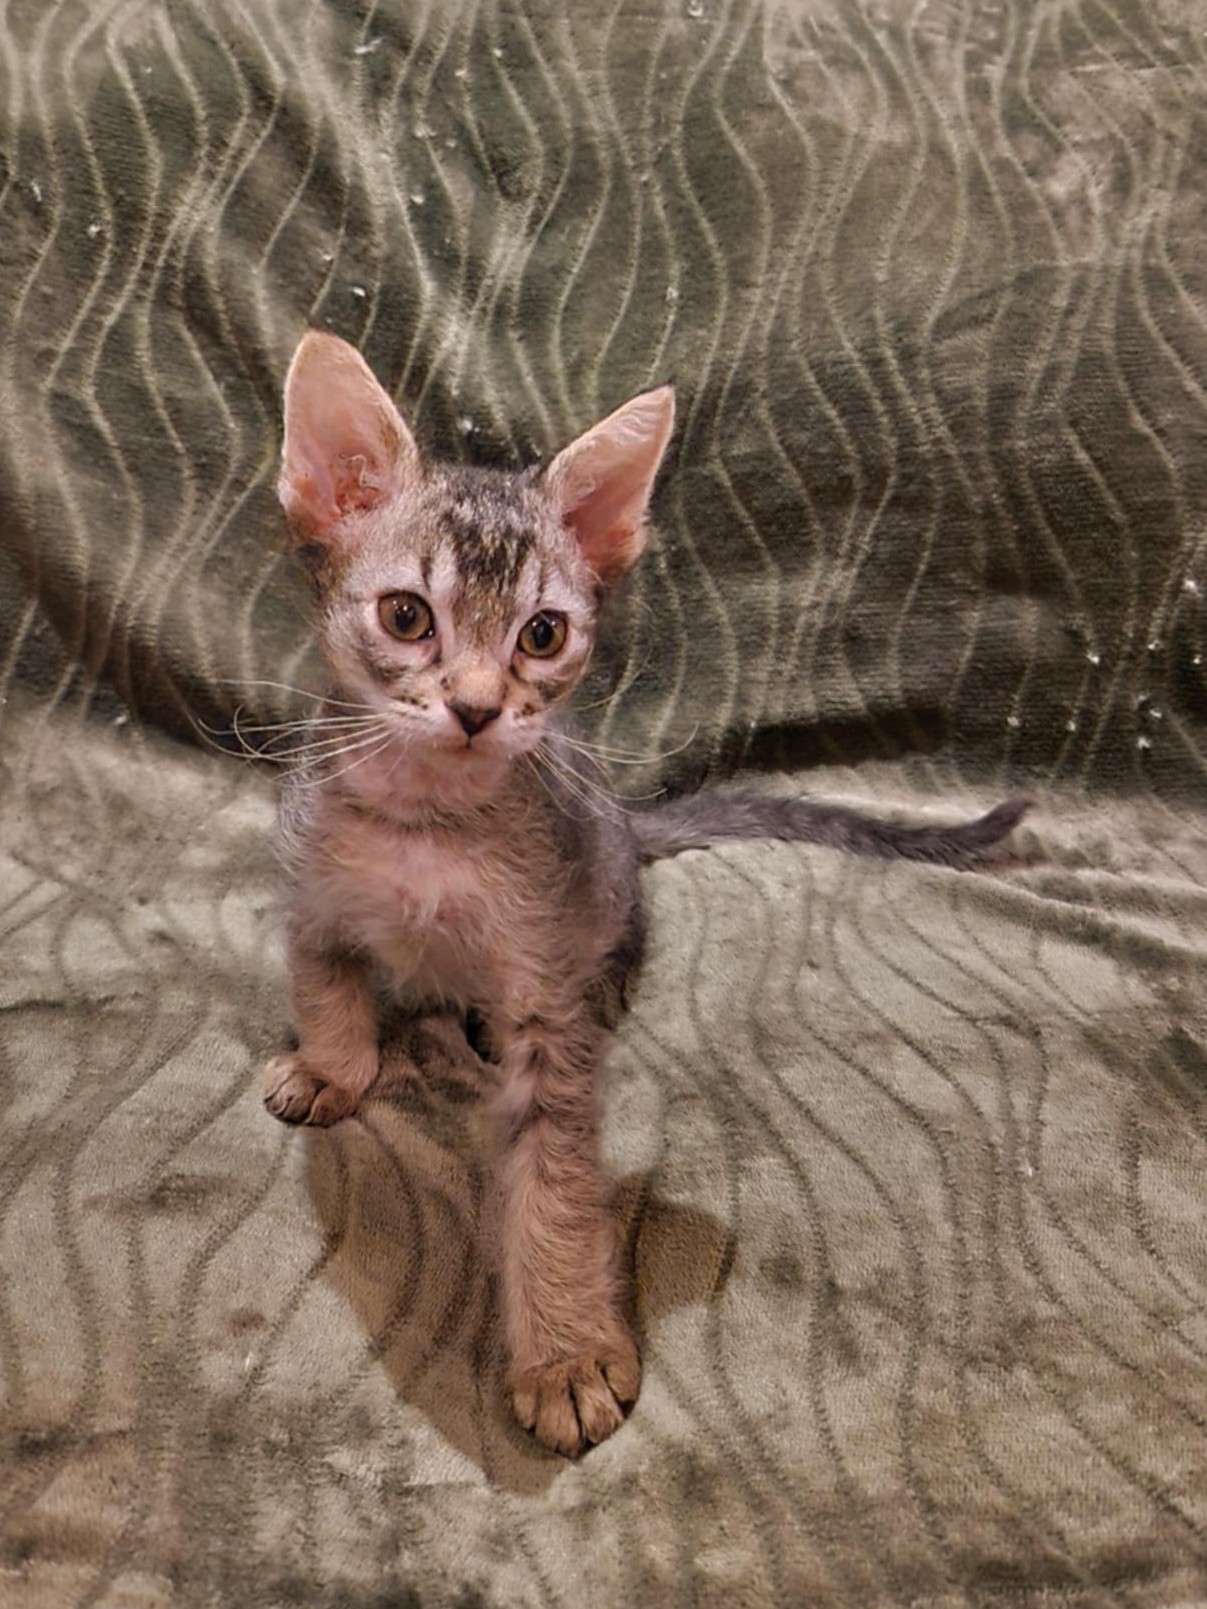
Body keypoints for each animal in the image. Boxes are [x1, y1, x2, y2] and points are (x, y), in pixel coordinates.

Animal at [263, 331, 1029, 1457]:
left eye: (542, 634)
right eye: (406, 616)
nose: (477, 708)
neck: (427, 825)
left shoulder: (544, 1001)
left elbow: (554, 1185)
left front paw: (565, 1354)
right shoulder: (310, 883)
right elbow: (325, 983)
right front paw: (332, 1064)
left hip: (602, 883)